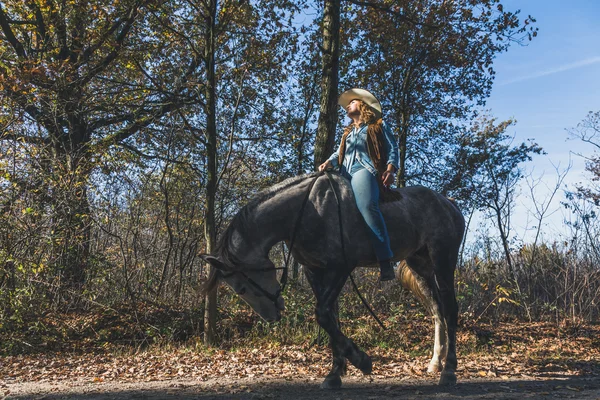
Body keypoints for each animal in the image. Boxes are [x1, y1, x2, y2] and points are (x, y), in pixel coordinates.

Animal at [200, 171, 464, 388]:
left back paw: (449, 370)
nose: (271, 317)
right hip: (421, 267)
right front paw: (336, 372)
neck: (307, 209)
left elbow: (324, 314)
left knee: (450, 309)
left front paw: (361, 360)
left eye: (242, 288)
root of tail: (447, 203)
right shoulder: (314, 271)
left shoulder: (340, 268)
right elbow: (331, 318)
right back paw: (435, 362)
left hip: (443, 261)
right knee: (437, 310)